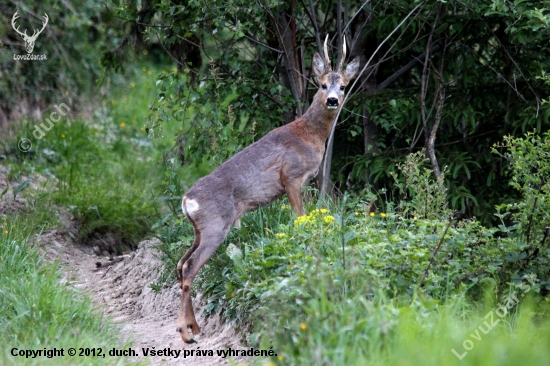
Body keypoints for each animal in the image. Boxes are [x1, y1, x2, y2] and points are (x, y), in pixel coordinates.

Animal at [175, 35, 360, 342]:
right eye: (322, 84)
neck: (309, 135)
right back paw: (186, 333)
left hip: (198, 231)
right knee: (189, 268)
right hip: (215, 226)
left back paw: (195, 327)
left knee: (180, 264)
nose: (333, 100)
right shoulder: (291, 176)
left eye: (343, 85)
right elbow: (300, 219)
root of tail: (186, 200)